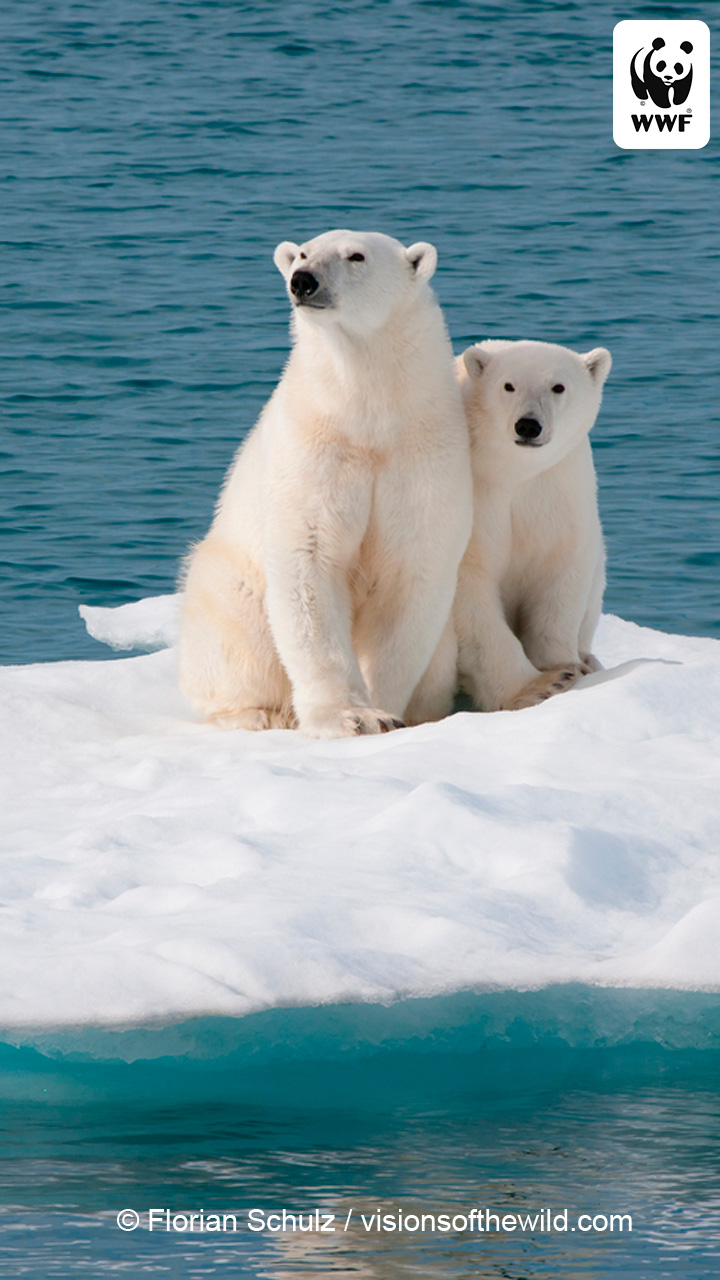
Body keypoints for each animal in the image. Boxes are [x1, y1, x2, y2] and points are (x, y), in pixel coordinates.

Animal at [178, 229, 473, 739]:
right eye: (302, 252)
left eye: (356, 256)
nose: (303, 280)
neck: (368, 417)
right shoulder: (313, 452)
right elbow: (309, 564)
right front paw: (352, 716)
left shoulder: (424, 460)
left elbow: (410, 577)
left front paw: (385, 709)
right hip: (228, 585)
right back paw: (259, 713)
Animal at [406, 339, 612, 720]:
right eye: (509, 385)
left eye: (558, 386)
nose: (528, 425)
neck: (511, 470)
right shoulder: (472, 501)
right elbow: (471, 595)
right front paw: (539, 686)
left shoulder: (559, 488)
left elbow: (559, 574)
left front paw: (563, 666)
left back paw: (589, 659)